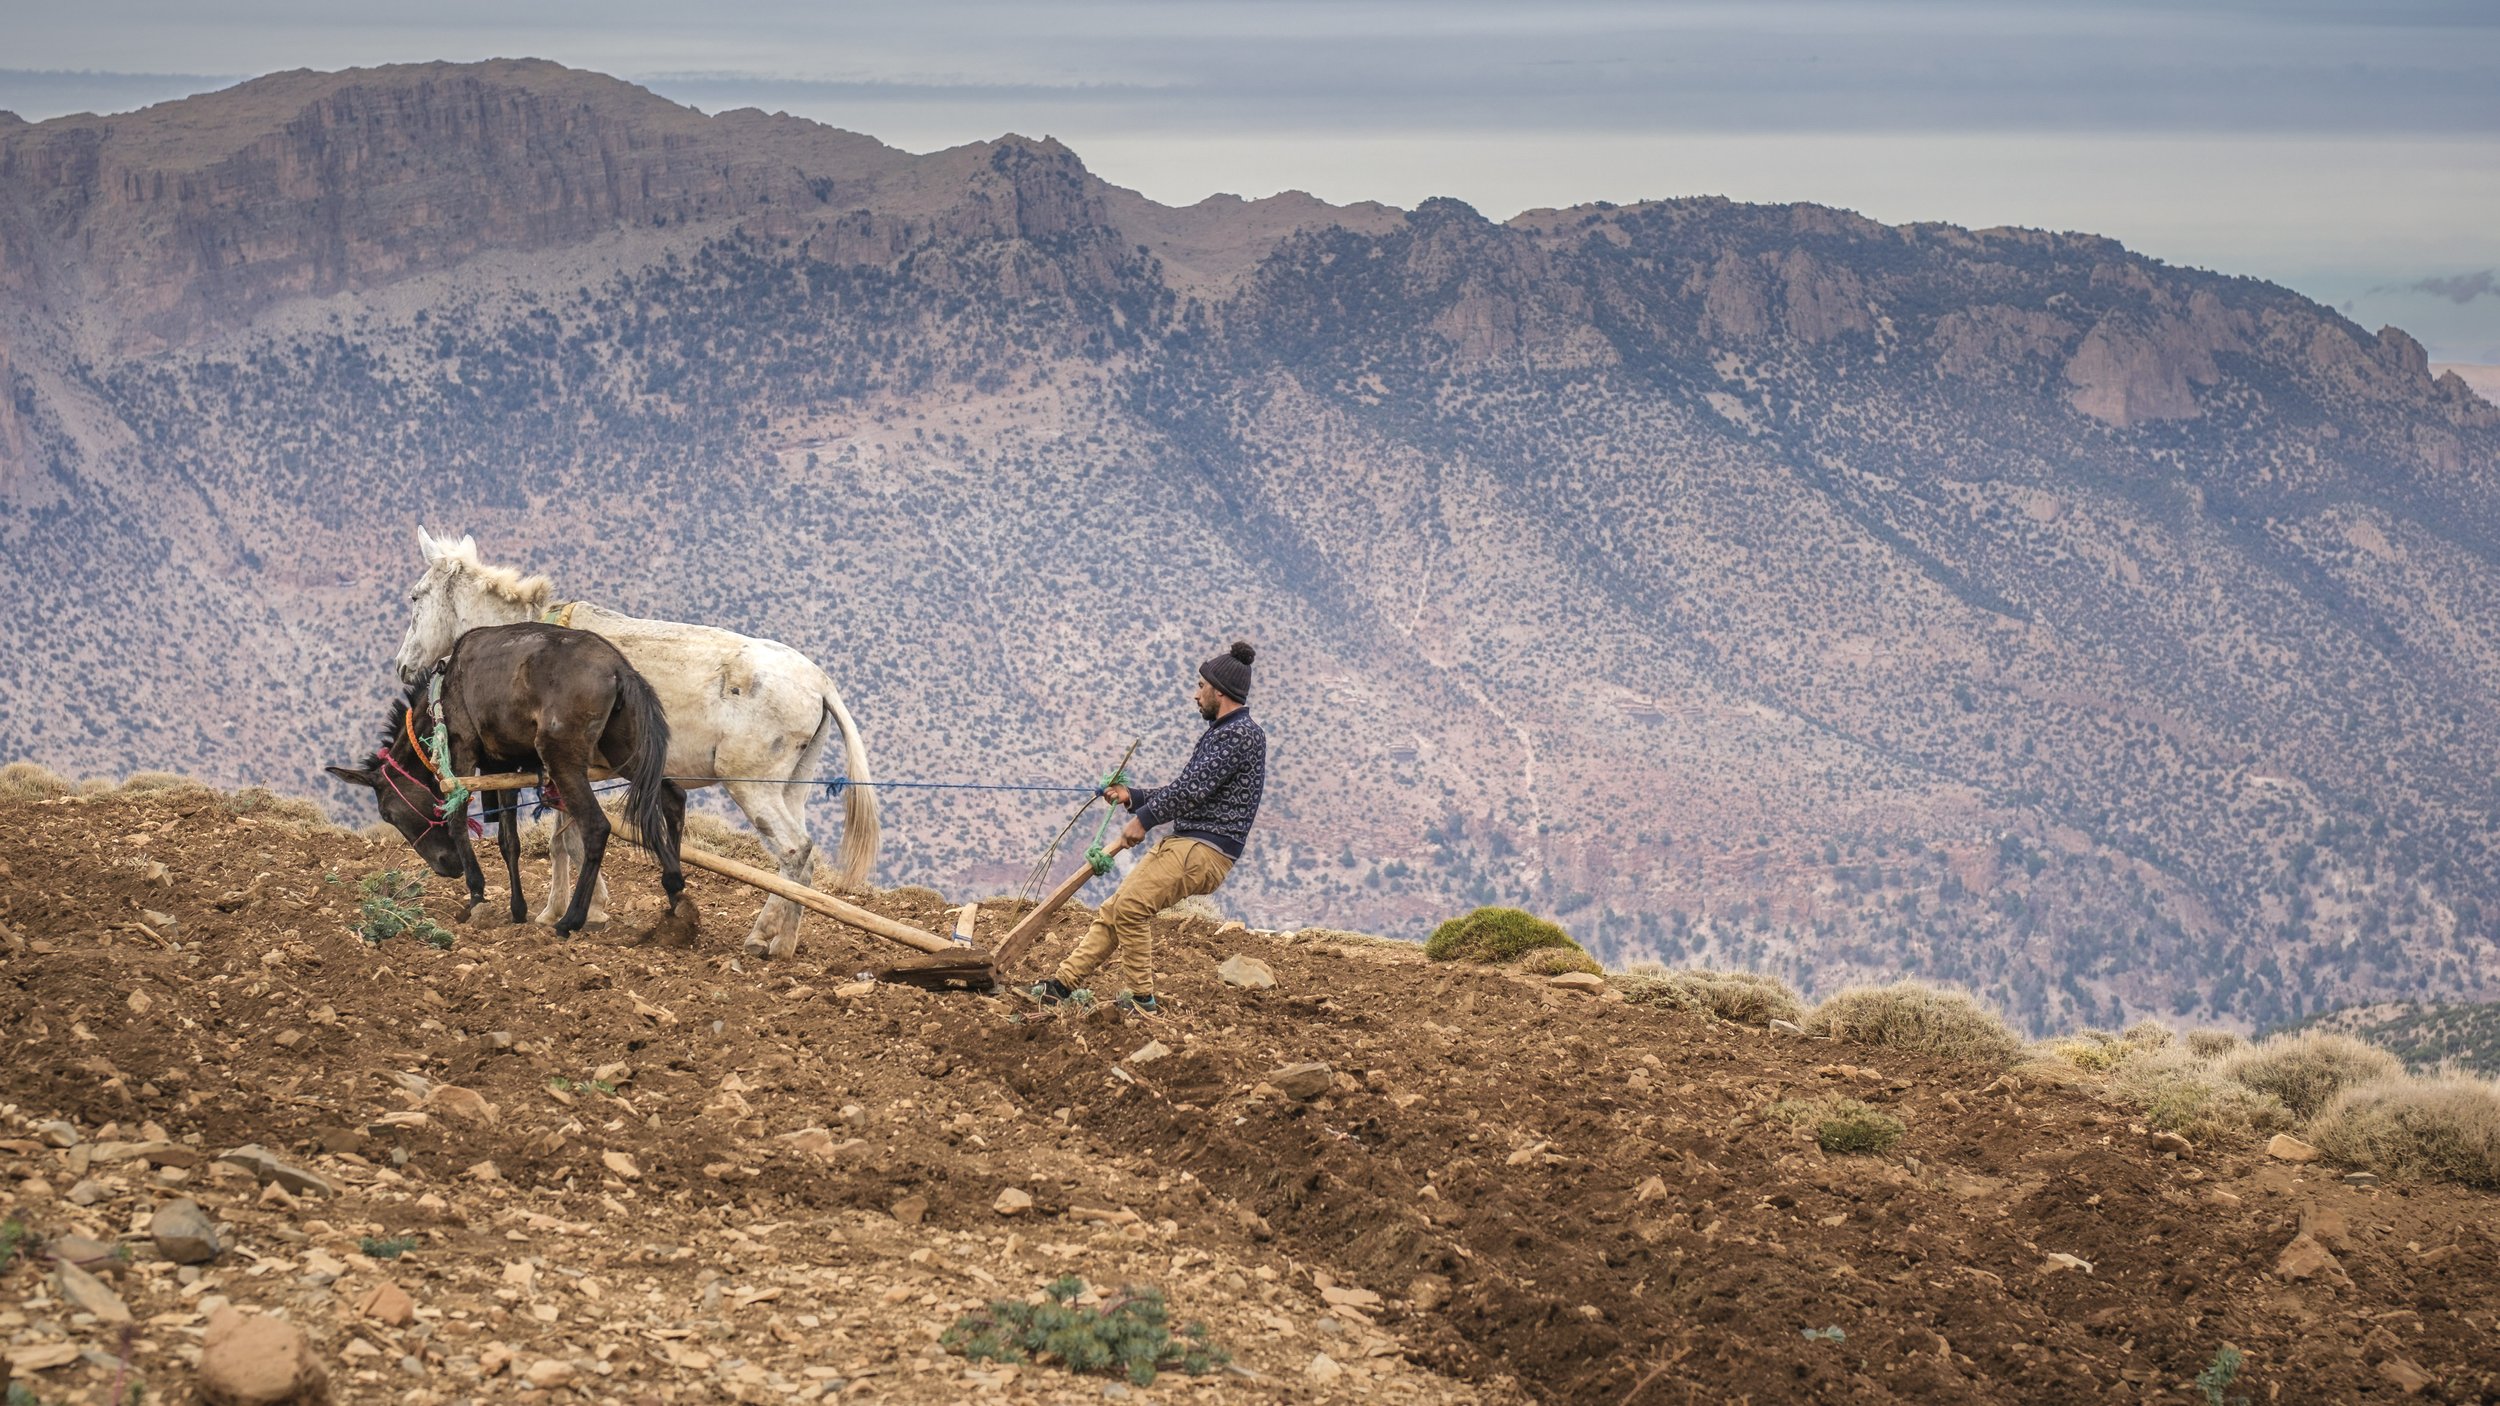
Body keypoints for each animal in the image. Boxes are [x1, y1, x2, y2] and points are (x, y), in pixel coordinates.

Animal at [330, 623, 697, 945]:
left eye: (388, 814)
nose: (447, 867)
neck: (444, 691)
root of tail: (619, 669)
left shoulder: (463, 753)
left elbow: (458, 821)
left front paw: (477, 895)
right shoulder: (504, 766)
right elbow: (509, 841)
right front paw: (517, 910)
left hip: (564, 760)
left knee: (596, 827)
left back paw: (570, 920)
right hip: (626, 752)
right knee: (671, 798)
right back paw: (675, 891)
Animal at [392, 528, 878, 959]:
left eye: (415, 597)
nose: (402, 666)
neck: (524, 637)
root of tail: (819, 682)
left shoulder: (566, 766)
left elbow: (570, 841)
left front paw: (574, 913)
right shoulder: (562, 771)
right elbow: (563, 840)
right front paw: (564, 911)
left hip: (751, 786)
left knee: (795, 850)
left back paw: (761, 938)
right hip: (792, 785)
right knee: (803, 862)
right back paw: (782, 942)